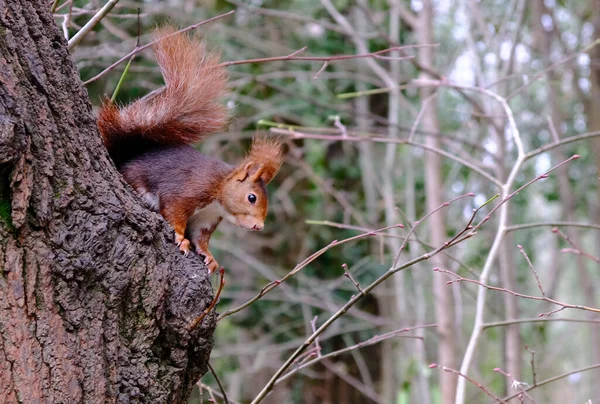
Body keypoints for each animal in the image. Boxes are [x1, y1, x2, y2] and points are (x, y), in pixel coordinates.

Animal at [97, 26, 284, 274]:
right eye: (251, 197)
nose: (258, 226)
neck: (218, 194)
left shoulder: (206, 219)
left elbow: (200, 238)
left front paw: (209, 256)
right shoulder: (187, 191)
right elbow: (174, 213)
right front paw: (180, 237)